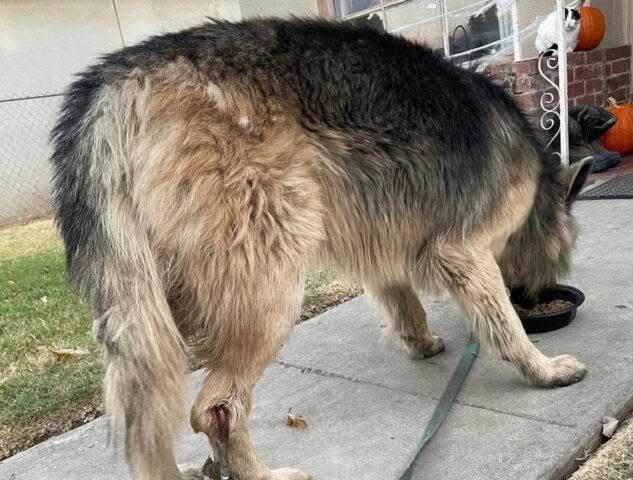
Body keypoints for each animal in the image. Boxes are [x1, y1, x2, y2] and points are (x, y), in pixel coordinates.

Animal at [51, 17, 592, 480]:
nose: (541, 297)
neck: (537, 185)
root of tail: (119, 81)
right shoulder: (462, 251)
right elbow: (502, 322)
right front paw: (541, 369)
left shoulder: (383, 244)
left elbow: (403, 299)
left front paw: (420, 341)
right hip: (270, 286)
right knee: (216, 408)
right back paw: (261, 473)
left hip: (148, 311)